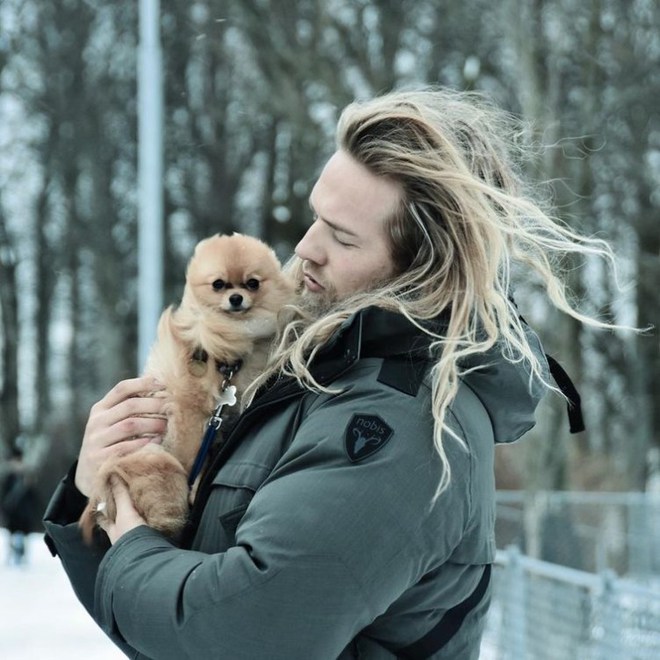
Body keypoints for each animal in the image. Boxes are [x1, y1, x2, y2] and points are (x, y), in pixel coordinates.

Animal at [79, 235, 294, 544]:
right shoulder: (189, 409)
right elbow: (191, 448)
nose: (236, 298)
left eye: (252, 283)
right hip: (158, 462)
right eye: (219, 284)